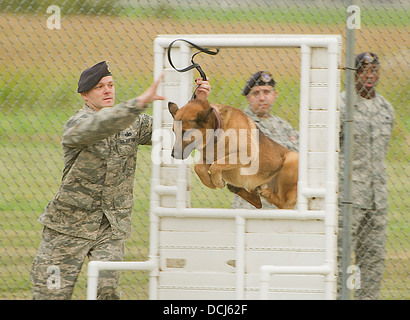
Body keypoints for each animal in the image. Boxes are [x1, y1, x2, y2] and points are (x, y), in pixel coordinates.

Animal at [167, 99, 298, 209]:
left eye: (185, 132)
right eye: (174, 131)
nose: (173, 155)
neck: (218, 132)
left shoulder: (245, 154)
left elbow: (215, 165)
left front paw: (217, 182)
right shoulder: (208, 159)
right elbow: (198, 167)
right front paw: (209, 182)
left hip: (291, 158)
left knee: (283, 204)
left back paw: (266, 193)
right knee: (258, 202)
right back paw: (239, 189)